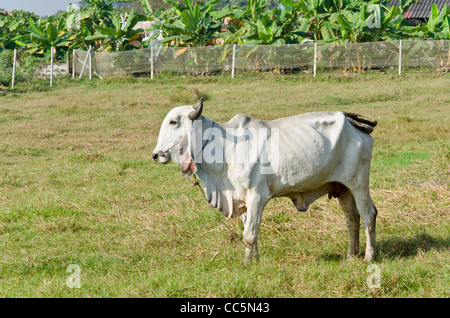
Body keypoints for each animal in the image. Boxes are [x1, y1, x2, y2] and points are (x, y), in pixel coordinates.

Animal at [153, 98, 378, 262]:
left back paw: (368, 257)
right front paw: (254, 259)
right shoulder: (243, 198)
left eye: (173, 122)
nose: (156, 155)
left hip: (358, 183)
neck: (227, 148)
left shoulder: (256, 196)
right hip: (343, 187)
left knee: (368, 215)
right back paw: (351, 256)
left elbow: (249, 235)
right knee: (352, 219)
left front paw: (246, 263)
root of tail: (351, 121)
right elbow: (251, 231)